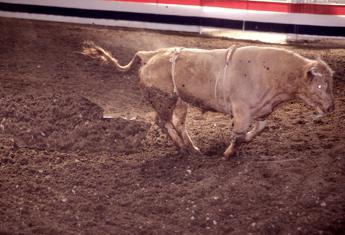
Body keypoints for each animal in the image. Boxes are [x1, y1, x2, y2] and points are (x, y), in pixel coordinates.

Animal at [81, 42, 334, 160]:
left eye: (331, 82)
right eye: (320, 85)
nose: (331, 107)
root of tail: (151, 54)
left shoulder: (262, 111)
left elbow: (258, 129)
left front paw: (244, 143)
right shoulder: (242, 112)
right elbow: (238, 135)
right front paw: (228, 154)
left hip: (180, 102)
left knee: (178, 123)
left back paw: (193, 148)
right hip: (164, 100)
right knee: (163, 122)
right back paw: (182, 147)